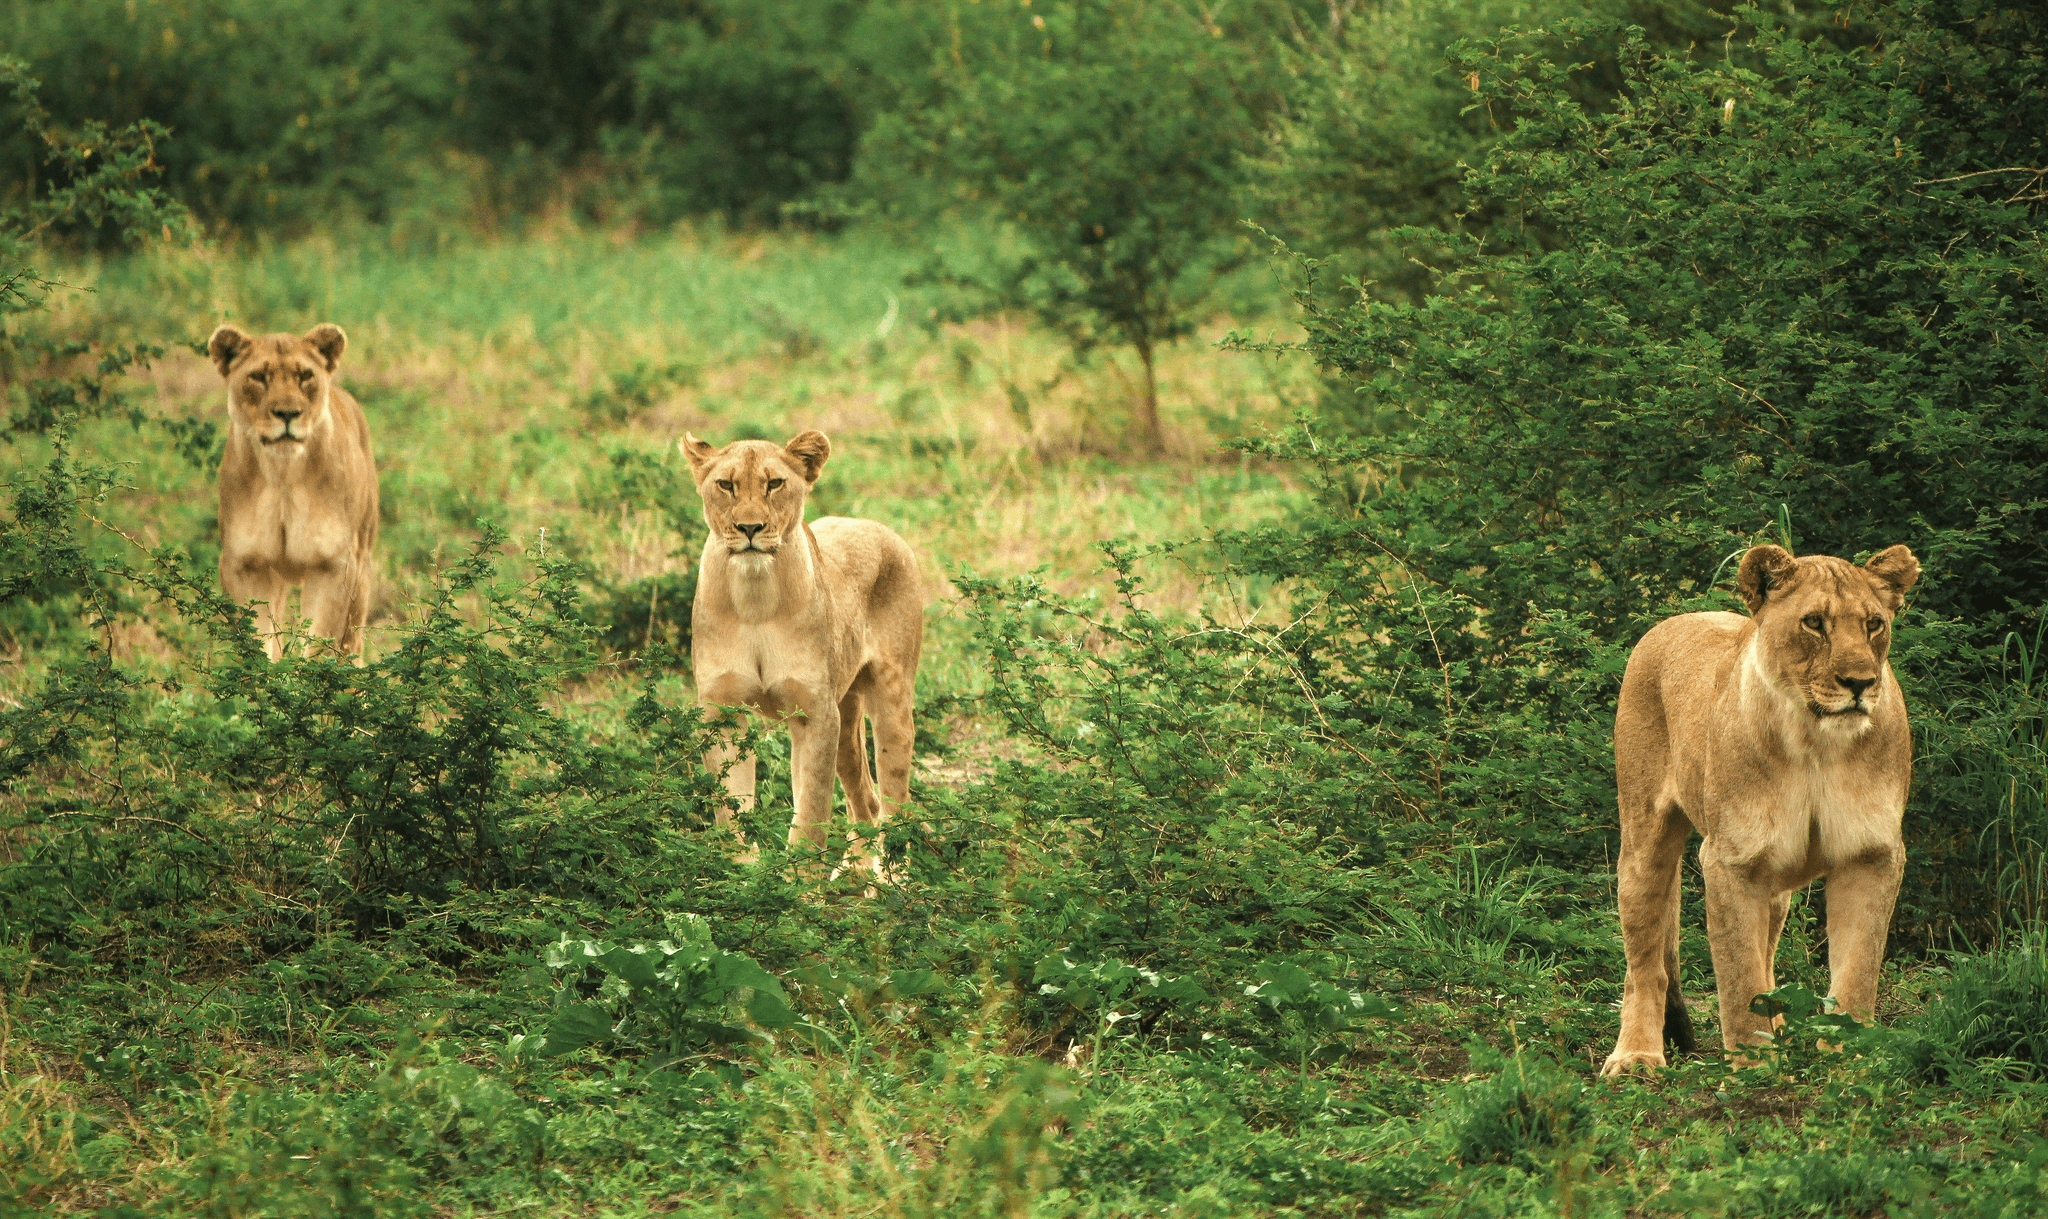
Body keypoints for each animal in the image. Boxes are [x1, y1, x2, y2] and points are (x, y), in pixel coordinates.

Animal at [208, 323, 380, 662]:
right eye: (258, 377)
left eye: (306, 376)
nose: (287, 413)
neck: (282, 476)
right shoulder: (245, 565)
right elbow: (257, 646)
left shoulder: (334, 566)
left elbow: (319, 646)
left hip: (362, 570)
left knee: (352, 646)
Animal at [682, 429, 925, 881]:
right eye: (725, 484)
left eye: (775, 483)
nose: (750, 527)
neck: (754, 598)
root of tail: (877, 526)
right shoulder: (722, 710)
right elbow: (731, 806)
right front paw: (743, 877)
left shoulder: (815, 712)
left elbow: (811, 812)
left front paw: (799, 887)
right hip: (845, 716)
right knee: (866, 801)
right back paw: (853, 879)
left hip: (891, 701)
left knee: (896, 801)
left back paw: (891, 882)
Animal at [1600, 543, 1920, 1074]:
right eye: (1814, 623)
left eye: (1874, 624)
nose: (1859, 682)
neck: (1815, 744)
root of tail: (1677, 618)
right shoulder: (1731, 859)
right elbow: (1739, 977)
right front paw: (1753, 1068)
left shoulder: (1870, 853)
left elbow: (1857, 971)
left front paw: (1847, 1060)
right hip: (1644, 839)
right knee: (1644, 962)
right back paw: (1636, 1056)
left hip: (1776, 887)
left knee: (1766, 954)